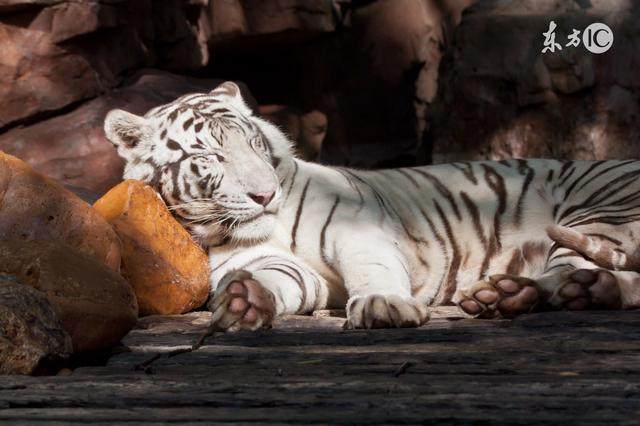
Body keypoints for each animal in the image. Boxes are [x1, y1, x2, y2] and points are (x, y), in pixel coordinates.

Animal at [104, 81, 640, 332]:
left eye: (253, 144)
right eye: (212, 157)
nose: (265, 195)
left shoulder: (357, 228)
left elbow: (371, 267)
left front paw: (384, 305)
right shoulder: (276, 264)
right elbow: (282, 279)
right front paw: (245, 300)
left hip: (600, 213)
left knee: (588, 272)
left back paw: (526, 292)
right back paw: (510, 295)